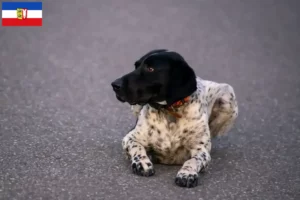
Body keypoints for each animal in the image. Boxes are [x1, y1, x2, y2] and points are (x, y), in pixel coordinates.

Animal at [110, 48, 239, 188]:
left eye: (150, 69)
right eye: (136, 66)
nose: (114, 85)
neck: (170, 111)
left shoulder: (201, 150)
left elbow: (193, 160)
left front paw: (187, 173)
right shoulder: (130, 137)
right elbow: (137, 147)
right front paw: (142, 162)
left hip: (228, 95)